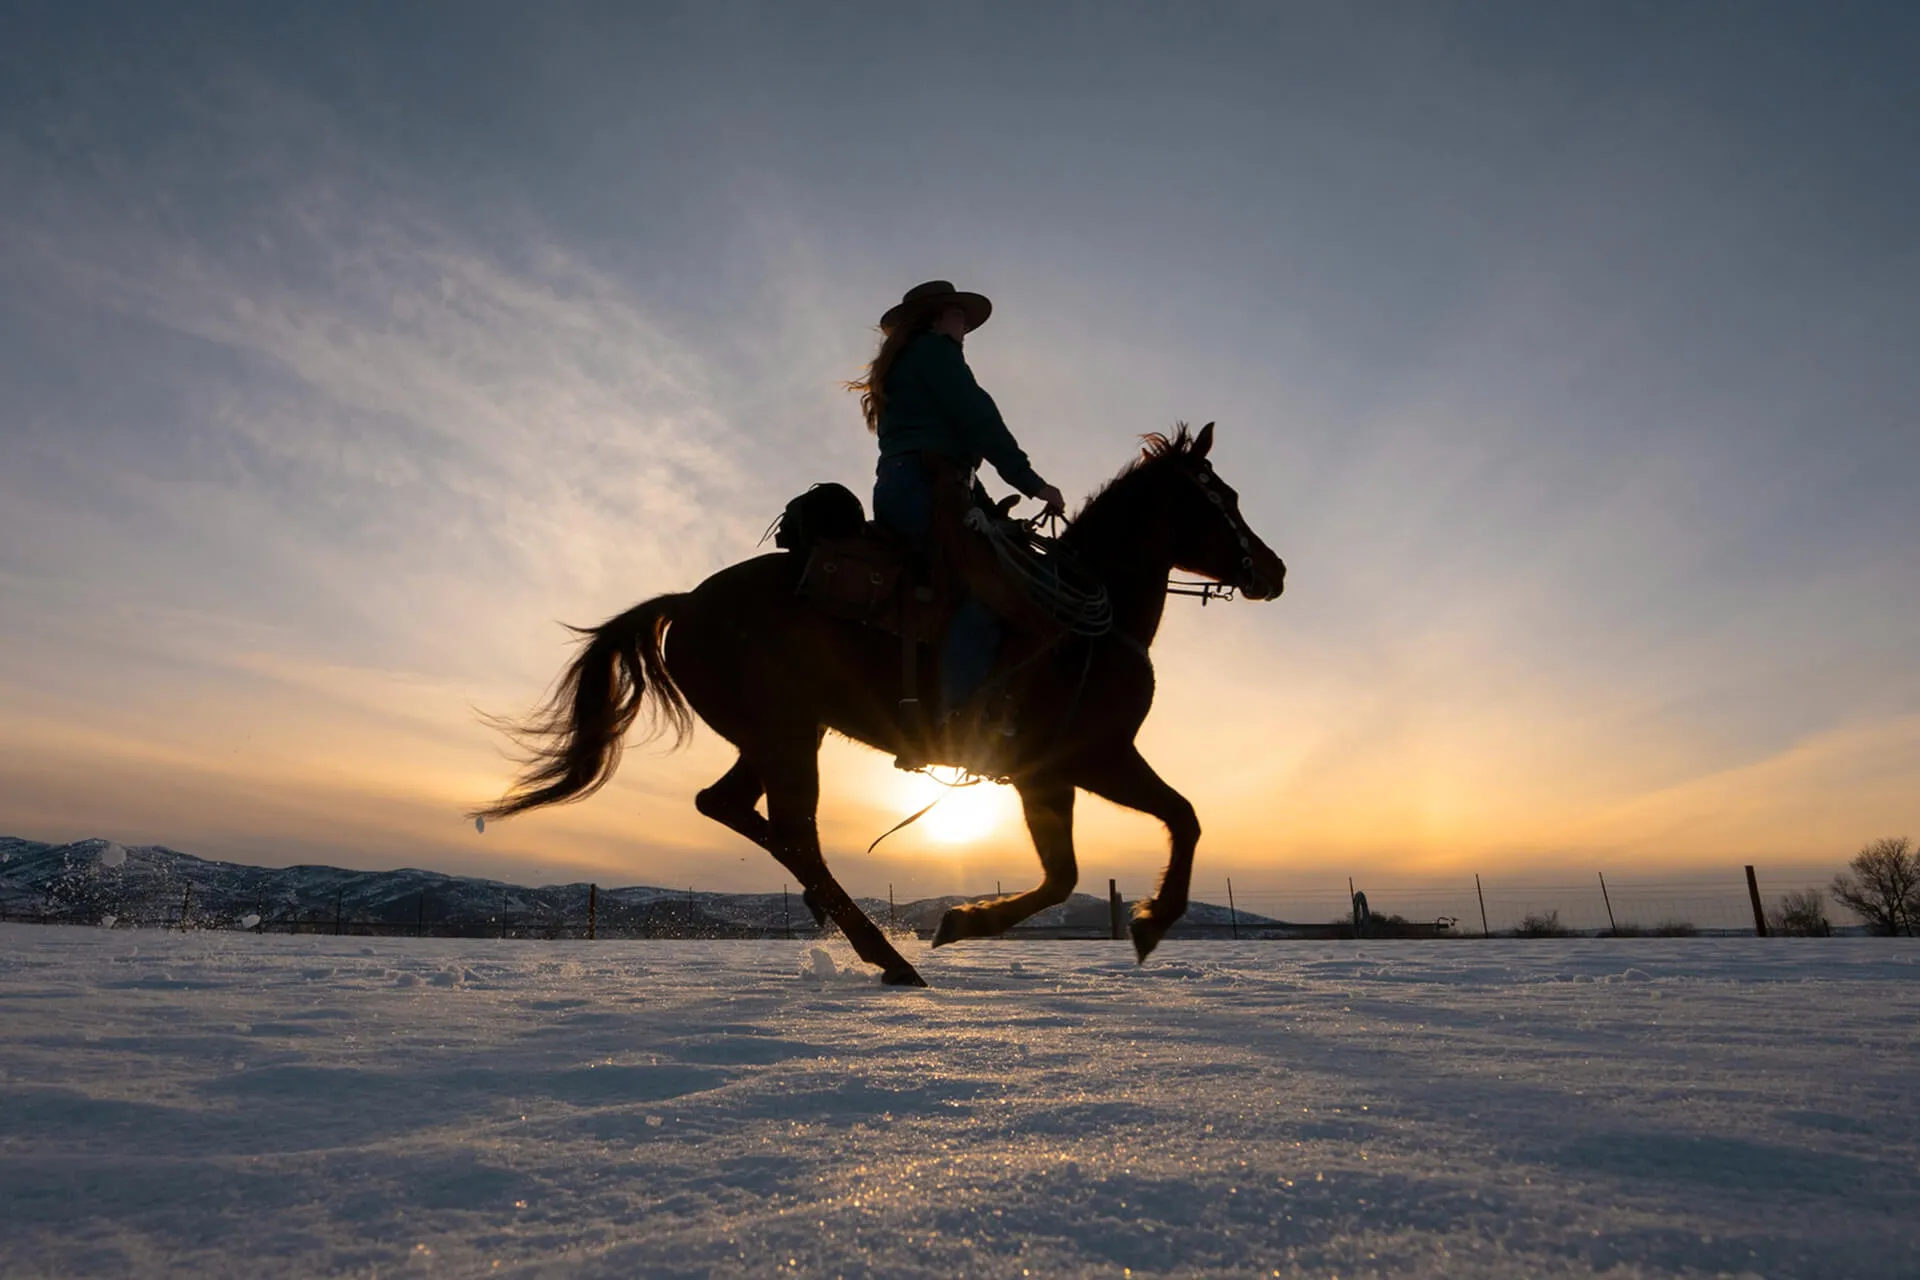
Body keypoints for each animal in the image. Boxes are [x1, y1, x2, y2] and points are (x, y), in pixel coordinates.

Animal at [474, 421, 1286, 986]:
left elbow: (1073, 870)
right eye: (1224, 500)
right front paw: (1149, 920)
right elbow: (1176, 821)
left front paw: (963, 920)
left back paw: (837, 919)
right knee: (791, 830)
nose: (1274, 570)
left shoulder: (1051, 775)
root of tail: (688, 602)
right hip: (787, 736)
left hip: (777, 735)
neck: (1088, 619)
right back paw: (886, 955)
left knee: (730, 806)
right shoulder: (1092, 757)